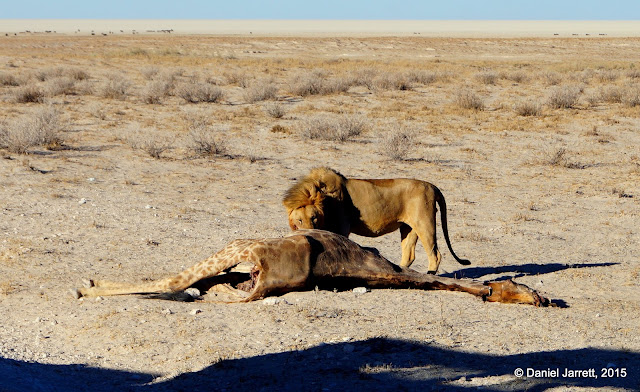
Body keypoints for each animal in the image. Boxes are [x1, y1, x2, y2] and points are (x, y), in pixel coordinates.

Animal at [284, 167, 470, 274]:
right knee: (409, 254)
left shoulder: (343, 226)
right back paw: (400, 271)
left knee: (435, 254)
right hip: (408, 227)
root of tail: (432, 185)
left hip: (424, 223)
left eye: (313, 217)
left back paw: (429, 275)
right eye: (299, 220)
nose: (308, 230)